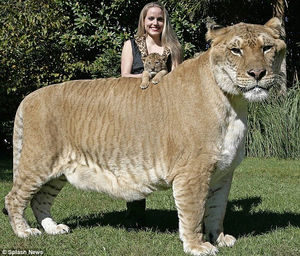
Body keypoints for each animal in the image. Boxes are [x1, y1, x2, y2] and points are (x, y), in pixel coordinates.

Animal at [4, 17, 286, 255]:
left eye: (267, 48)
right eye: (236, 50)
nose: (257, 74)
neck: (234, 103)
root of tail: (28, 97)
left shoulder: (223, 172)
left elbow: (217, 210)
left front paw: (220, 239)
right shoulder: (192, 172)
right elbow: (194, 212)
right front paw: (198, 246)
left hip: (58, 170)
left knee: (40, 199)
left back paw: (52, 229)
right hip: (38, 161)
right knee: (14, 197)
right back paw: (25, 232)